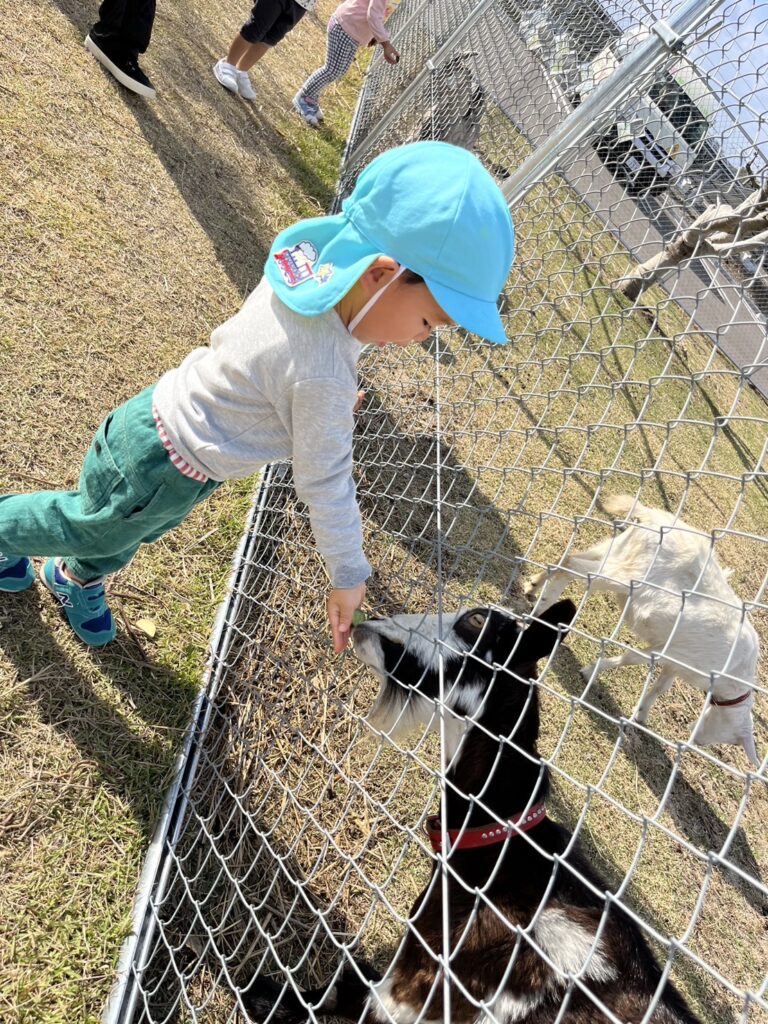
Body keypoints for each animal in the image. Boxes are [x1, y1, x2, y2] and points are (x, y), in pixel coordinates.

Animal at [241, 599, 701, 1023]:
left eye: (474, 623)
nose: (368, 626)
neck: (501, 844)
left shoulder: (414, 990)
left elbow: (344, 992)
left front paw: (261, 996)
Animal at [525, 496, 760, 765]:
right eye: (733, 739)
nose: (697, 740)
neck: (734, 676)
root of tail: (652, 517)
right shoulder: (673, 653)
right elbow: (632, 658)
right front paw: (591, 671)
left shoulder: (677, 663)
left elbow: (662, 686)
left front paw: (642, 714)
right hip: (631, 577)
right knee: (577, 566)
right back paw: (543, 604)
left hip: (620, 550)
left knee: (572, 556)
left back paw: (534, 586)